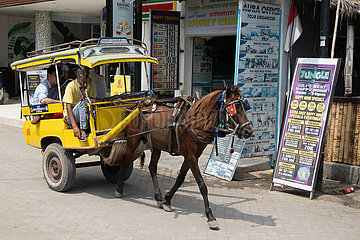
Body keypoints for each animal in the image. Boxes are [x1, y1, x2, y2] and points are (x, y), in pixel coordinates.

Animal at [111, 85, 252, 230]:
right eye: (234, 108)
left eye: (244, 106)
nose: (248, 131)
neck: (195, 123)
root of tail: (135, 105)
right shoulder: (191, 157)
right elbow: (202, 185)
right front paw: (210, 216)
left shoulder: (190, 156)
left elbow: (180, 179)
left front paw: (167, 200)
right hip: (133, 140)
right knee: (125, 160)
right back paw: (119, 189)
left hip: (156, 145)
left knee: (152, 167)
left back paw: (158, 197)